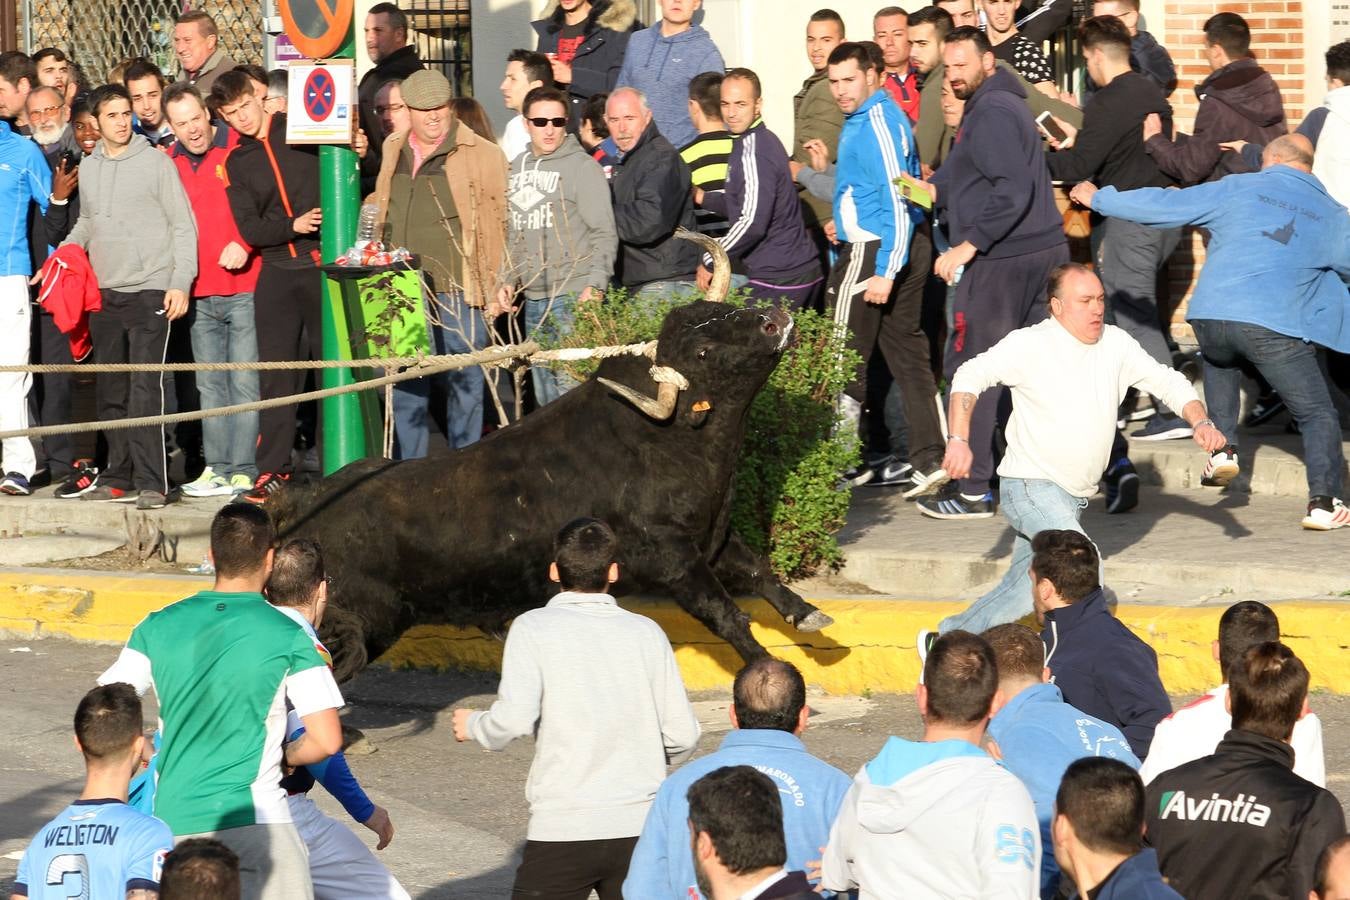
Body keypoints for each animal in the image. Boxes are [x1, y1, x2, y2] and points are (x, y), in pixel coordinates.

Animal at [268, 302, 831, 682]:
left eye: (717, 310)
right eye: (703, 349)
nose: (775, 318)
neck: (666, 435)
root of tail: (303, 504)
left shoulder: (713, 539)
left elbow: (759, 571)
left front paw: (810, 616)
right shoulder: (675, 558)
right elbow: (726, 614)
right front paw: (769, 668)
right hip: (361, 625)